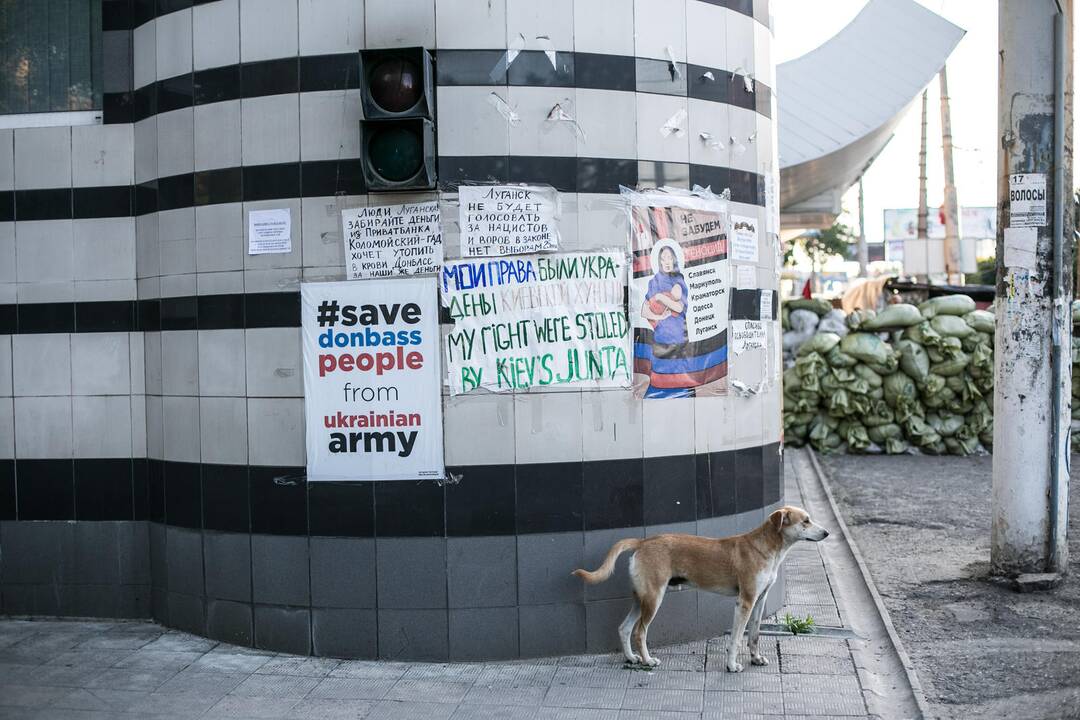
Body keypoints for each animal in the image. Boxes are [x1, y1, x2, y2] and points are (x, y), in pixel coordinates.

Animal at [574, 507, 825, 669]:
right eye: (805, 521)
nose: (827, 533)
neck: (766, 548)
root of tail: (643, 542)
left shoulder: (759, 600)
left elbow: (753, 634)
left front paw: (755, 658)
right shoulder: (745, 602)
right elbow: (736, 638)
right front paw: (732, 665)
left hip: (641, 599)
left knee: (624, 629)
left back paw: (631, 658)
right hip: (654, 598)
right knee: (639, 632)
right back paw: (648, 661)